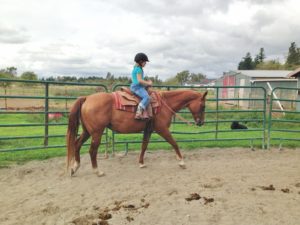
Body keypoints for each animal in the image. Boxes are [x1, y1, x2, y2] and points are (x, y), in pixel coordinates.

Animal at [66, 89, 206, 177]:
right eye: (203, 106)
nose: (201, 122)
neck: (165, 104)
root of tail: (87, 98)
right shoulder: (162, 129)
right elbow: (174, 143)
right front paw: (181, 162)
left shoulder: (148, 130)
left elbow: (144, 146)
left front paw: (141, 163)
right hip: (96, 132)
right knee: (92, 151)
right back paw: (97, 171)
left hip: (87, 131)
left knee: (77, 144)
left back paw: (74, 168)